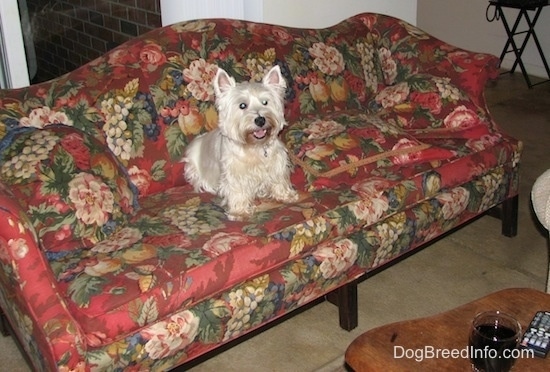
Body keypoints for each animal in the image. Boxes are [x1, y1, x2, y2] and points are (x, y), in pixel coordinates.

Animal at [183, 65, 300, 219]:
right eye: (242, 105)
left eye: (265, 102)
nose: (260, 120)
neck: (253, 146)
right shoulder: (234, 173)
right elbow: (237, 191)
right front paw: (239, 212)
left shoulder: (277, 163)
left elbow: (279, 180)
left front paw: (287, 196)